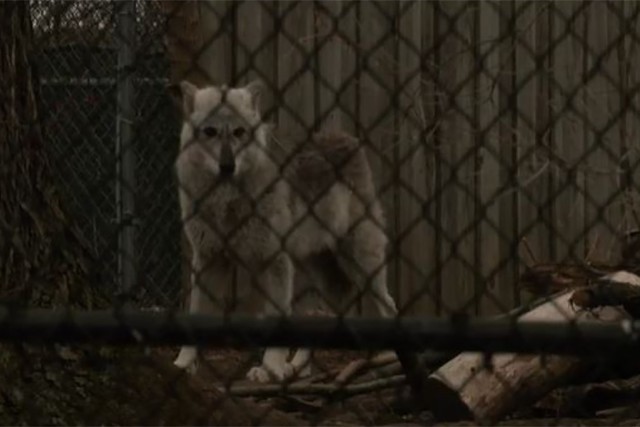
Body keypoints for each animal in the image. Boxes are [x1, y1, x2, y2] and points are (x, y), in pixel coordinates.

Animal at [172, 80, 399, 383]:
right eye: (210, 132)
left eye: (239, 132)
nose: (227, 166)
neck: (226, 199)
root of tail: (347, 138)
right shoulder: (209, 259)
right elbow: (194, 315)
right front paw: (183, 364)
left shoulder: (275, 261)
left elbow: (277, 318)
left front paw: (269, 368)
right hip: (315, 266)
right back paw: (298, 367)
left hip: (360, 264)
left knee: (389, 305)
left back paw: (391, 360)